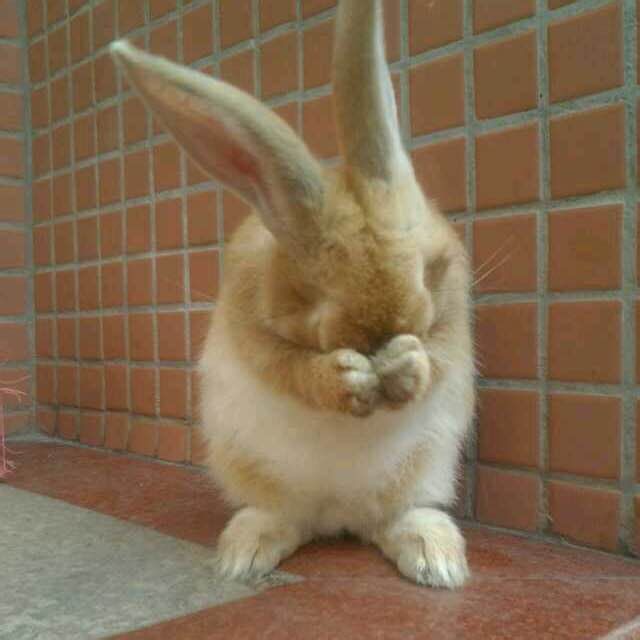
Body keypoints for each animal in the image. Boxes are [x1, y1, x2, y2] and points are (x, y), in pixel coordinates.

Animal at [110, 0, 474, 589]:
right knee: (281, 517)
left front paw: (402, 364)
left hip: (425, 471)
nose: (382, 331)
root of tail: (341, 516)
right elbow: (291, 368)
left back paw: (436, 562)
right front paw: (347, 377)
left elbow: (436, 355)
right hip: (254, 472)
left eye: (424, 268)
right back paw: (244, 557)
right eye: (314, 289)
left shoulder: (453, 318)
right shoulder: (254, 333)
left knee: (400, 516)